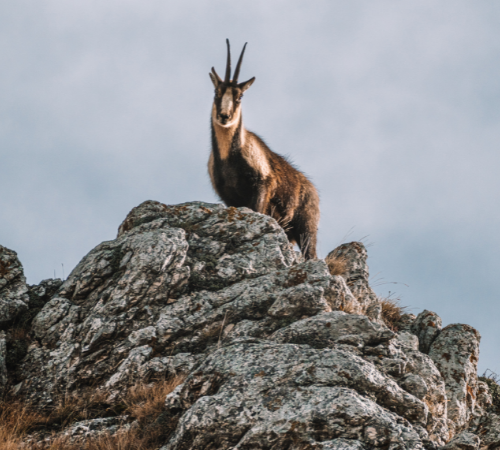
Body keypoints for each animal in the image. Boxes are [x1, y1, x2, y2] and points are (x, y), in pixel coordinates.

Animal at [208, 40, 320, 262]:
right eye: (217, 92)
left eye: (239, 96)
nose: (224, 116)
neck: (228, 158)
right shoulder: (227, 196)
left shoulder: (262, 185)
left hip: (306, 227)